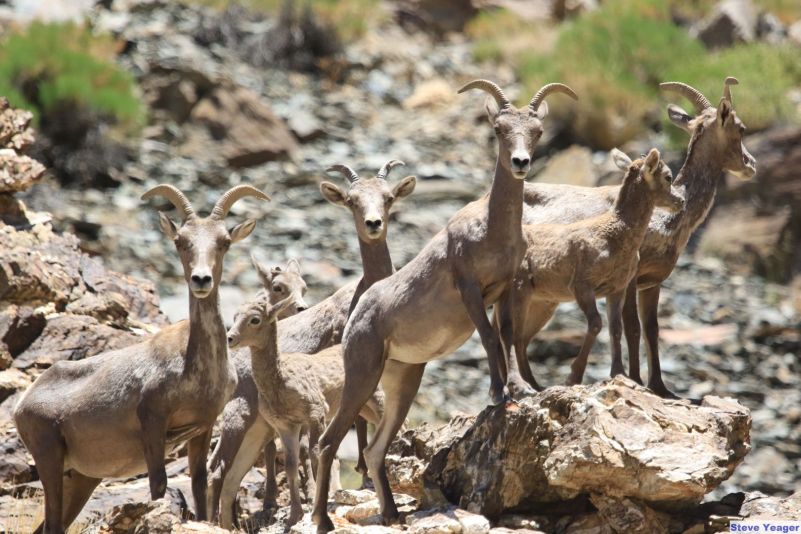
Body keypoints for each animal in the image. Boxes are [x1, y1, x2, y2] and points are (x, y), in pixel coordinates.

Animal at [13, 185, 268, 534]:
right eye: (180, 241)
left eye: (224, 241)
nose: (201, 280)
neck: (194, 370)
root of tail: (23, 404)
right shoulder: (152, 422)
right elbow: (158, 484)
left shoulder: (202, 427)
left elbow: (199, 484)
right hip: (48, 456)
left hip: (80, 479)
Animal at [206, 161, 412, 528]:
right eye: (351, 201)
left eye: (388, 198)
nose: (373, 224)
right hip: (238, 418)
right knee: (217, 468)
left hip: (258, 426)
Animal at [310, 77, 580, 532]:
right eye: (498, 130)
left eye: (537, 131)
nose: (521, 162)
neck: (491, 230)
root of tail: (358, 314)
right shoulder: (469, 288)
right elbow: (489, 338)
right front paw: (497, 394)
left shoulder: (506, 290)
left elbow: (507, 337)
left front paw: (521, 389)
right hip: (362, 375)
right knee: (330, 442)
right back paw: (323, 521)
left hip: (403, 382)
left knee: (375, 449)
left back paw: (391, 514)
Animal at [496, 148, 684, 390]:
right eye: (668, 177)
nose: (681, 201)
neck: (615, 235)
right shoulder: (582, 286)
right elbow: (595, 324)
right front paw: (573, 377)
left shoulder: (617, 289)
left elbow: (615, 328)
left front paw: (618, 373)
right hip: (520, 294)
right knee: (515, 337)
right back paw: (529, 386)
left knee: (518, 339)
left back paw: (534, 385)